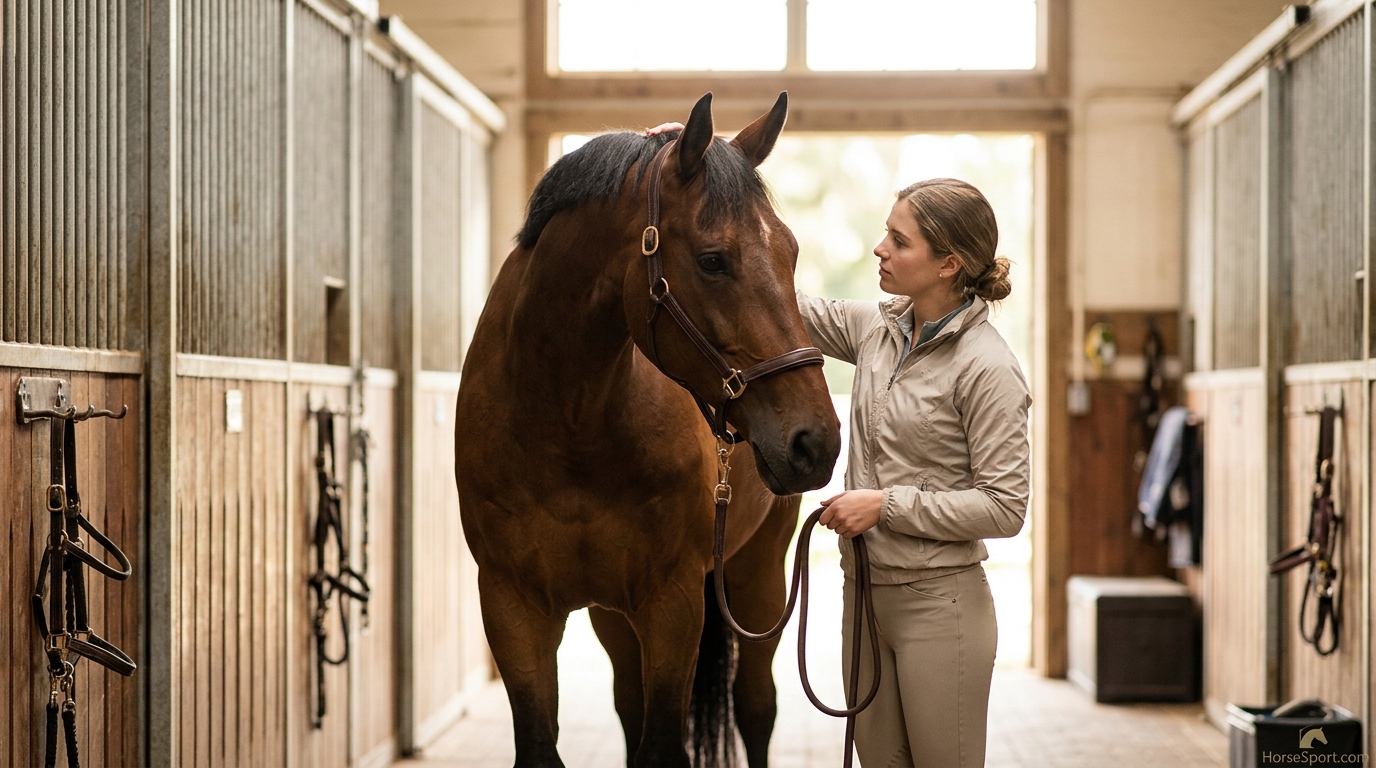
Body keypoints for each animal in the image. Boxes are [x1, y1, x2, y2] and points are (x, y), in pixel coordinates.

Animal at [454, 92, 842, 768]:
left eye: (791, 253)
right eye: (713, 260)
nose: (814, 441)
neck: (569, 424)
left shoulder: (673, 604)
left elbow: (665, 742)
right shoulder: (512, 605)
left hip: (759, 579)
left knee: (756, 708)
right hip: (614, 615)